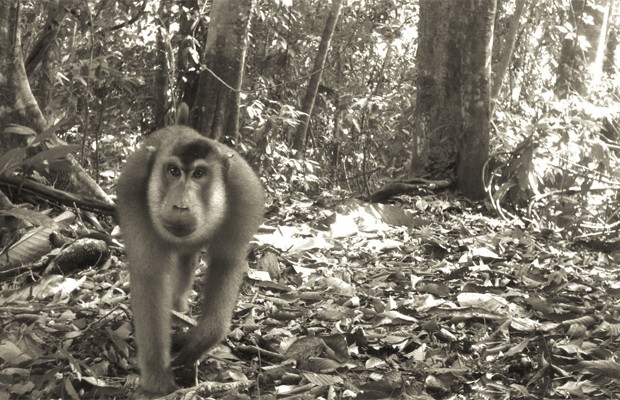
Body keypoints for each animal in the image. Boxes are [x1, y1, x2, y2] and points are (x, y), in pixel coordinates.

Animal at [116, 114, 264, 396]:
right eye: (173, 171)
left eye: (199, 174)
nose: (180, 206)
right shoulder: (132, 193)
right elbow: (150, 278)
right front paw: (157, 380)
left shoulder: (243, 195)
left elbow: (226, 263)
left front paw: (199, 341)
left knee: (188, 258)